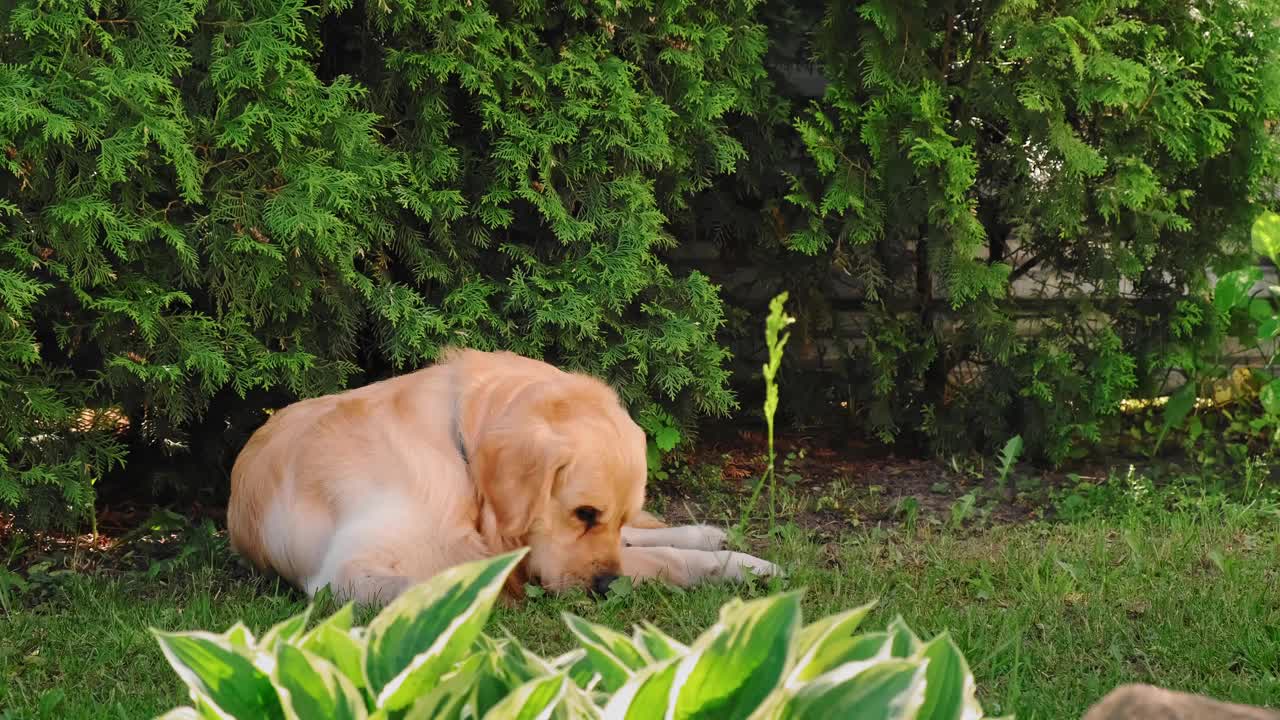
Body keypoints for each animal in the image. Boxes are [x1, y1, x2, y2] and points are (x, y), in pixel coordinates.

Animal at [225, 345, 773, 602]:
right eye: (584, 513)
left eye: (609, 516)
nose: (606, 588)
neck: (458, 458)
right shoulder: (345, 572)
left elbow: (644, 549)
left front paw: (737, 564)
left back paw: (714, 538)